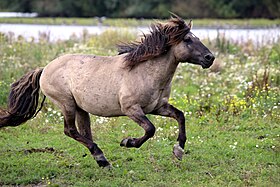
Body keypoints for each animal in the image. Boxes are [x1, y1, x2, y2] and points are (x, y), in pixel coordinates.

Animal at [0, 15, 214, 168]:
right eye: (187, 39)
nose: (210, 58)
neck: (145, 72)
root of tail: (44, 69)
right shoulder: (131, 109)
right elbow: (150, 129)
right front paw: (127, 142)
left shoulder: (158, 107)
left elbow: (180, 116)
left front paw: (178, 151)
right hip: (66, 104)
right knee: (70, 130)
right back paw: (102, 158)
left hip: (80, 108)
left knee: (84, 132)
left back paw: (101, 159)